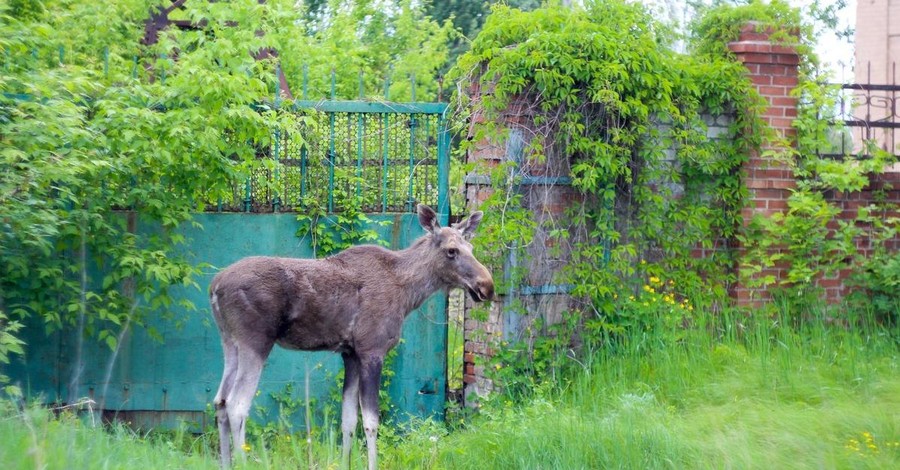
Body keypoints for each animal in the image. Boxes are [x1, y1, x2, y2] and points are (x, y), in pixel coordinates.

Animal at [208, 204, 496, 468]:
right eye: (451, 250)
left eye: (470, 248)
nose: (487, 286)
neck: (407, 294)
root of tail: (215, 287)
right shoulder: (372, 350)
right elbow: (370, 422)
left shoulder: (350, 353)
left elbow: (348, 420)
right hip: (256, 342)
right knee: (236, 405)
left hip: (230, 342)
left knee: (220, 401)